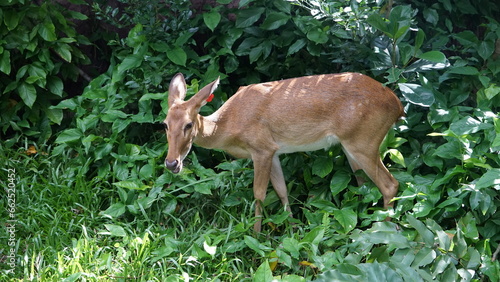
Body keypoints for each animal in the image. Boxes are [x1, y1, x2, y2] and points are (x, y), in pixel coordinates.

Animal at [164, 72, 406, 234]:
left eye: (188, 125)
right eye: (165, 124)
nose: (171, 163)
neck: (229, 126)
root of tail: (398, 106)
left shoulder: (261, 148)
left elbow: (259, 194)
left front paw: (256, 235)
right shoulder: (274, 151)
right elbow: (281, 190)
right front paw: (291, 227)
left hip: (364, 141)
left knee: (389, 184)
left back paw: (383, 233)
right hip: (351, 146)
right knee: (362, 182)